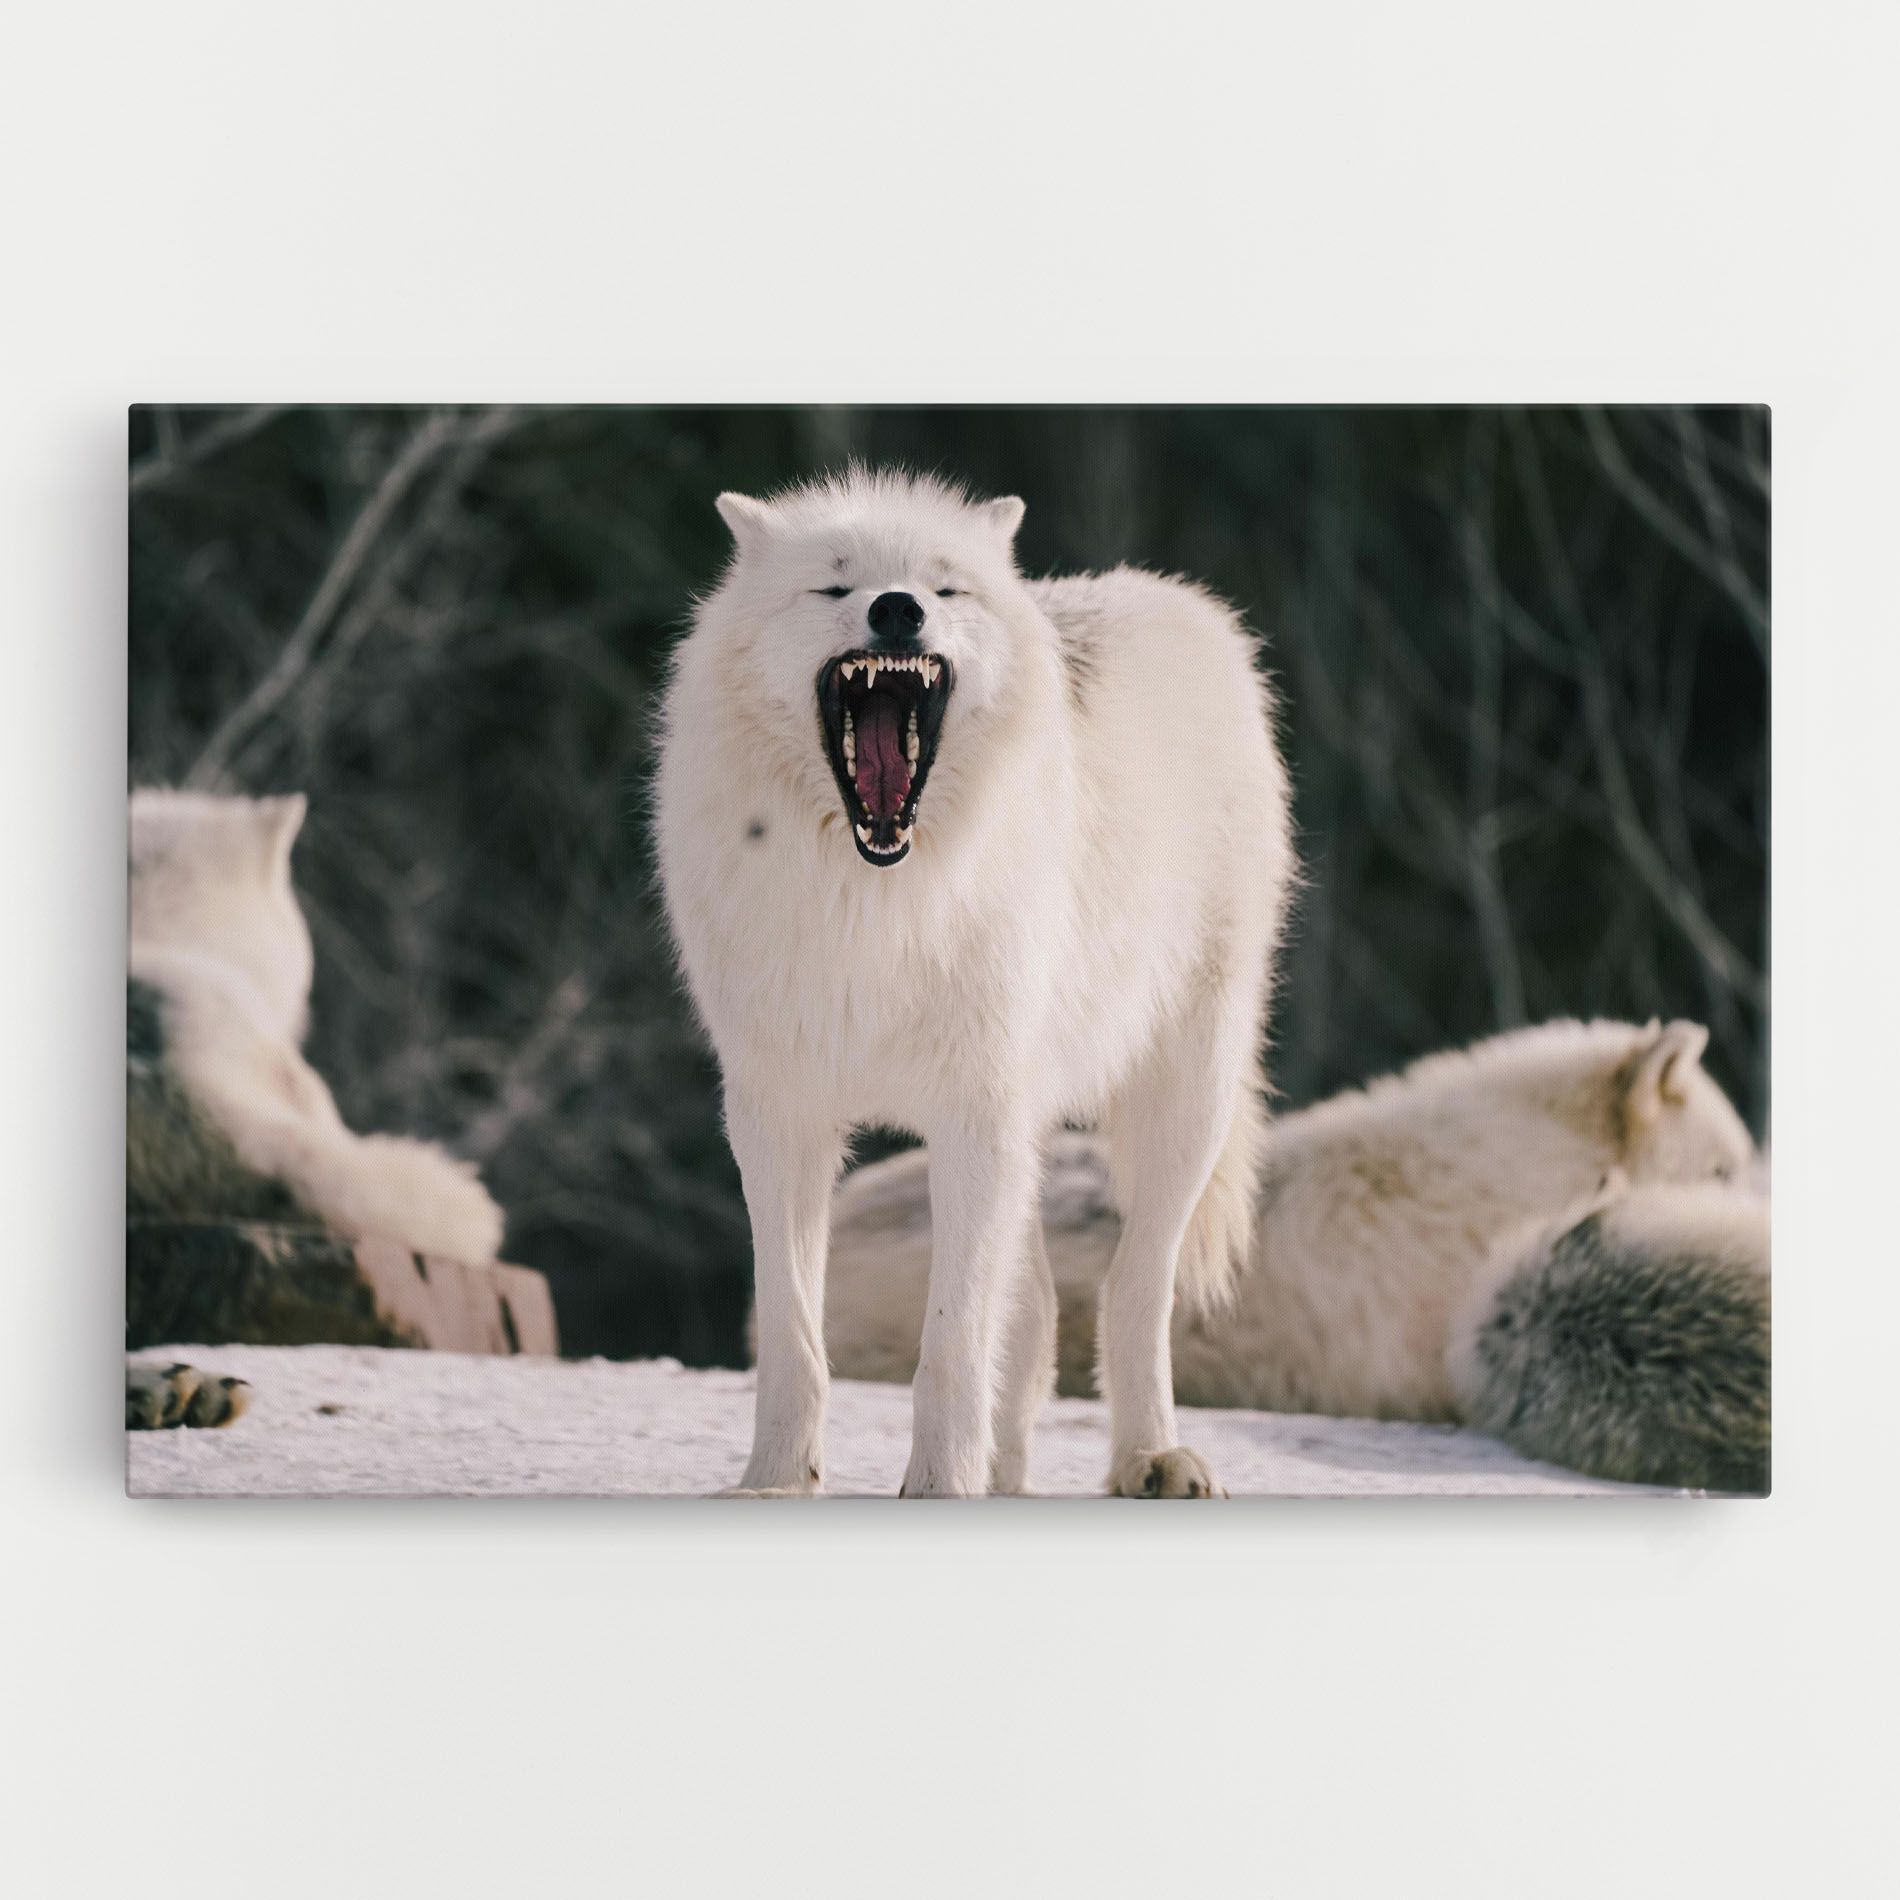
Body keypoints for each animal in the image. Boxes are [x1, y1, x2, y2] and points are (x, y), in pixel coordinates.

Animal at [654, 470, 1293, 1497]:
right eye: (835, 586)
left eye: (945, 588)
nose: (897, 609)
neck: (876, 902)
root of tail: (1180, 601)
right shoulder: (778, 1114)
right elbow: (794, 1333)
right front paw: (776, 1481)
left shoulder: (972, 1114)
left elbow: (951, 1343)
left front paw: (938, 1486)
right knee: (1033, 1314)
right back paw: (1012, 1474)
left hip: (1182, 1099)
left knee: (1133, 1286)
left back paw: (1152, 1456)